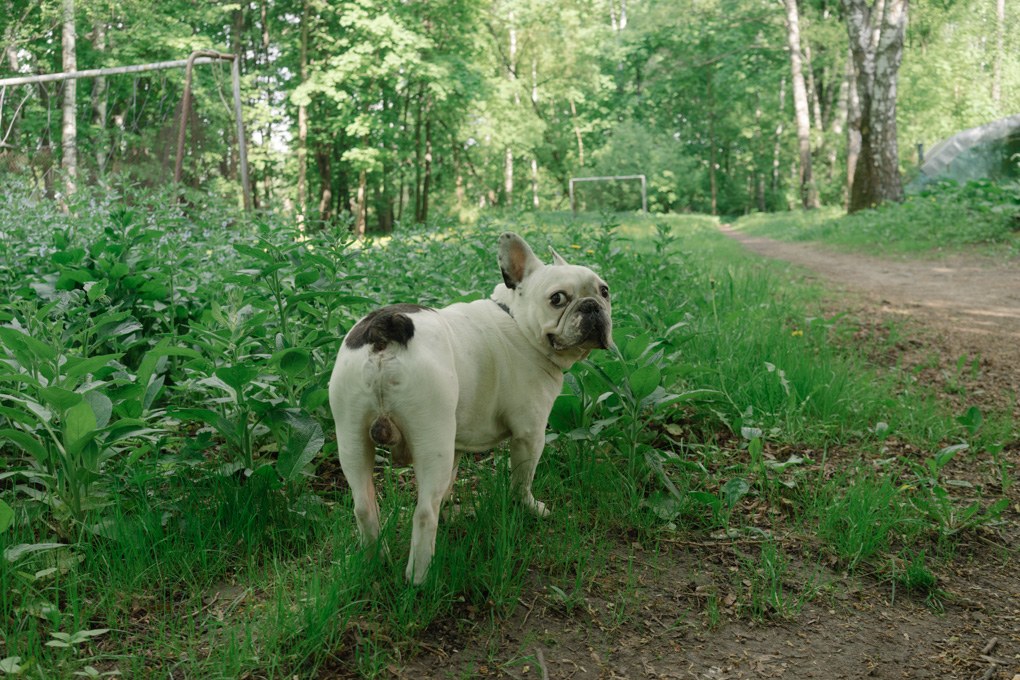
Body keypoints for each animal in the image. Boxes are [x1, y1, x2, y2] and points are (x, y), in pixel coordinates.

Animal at [328, 231, 612, 583]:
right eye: (557, 298)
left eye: (604, 291)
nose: (592, 306)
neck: (516, 321)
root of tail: (386, 327)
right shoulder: (530, 434)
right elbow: (523, 479)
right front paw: (529, 508)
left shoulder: (457, 444)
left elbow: (451, 481)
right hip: (431, 436)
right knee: (424, 514)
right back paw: (421, 577)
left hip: (351, 435)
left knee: (364, 506)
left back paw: (376, 563)